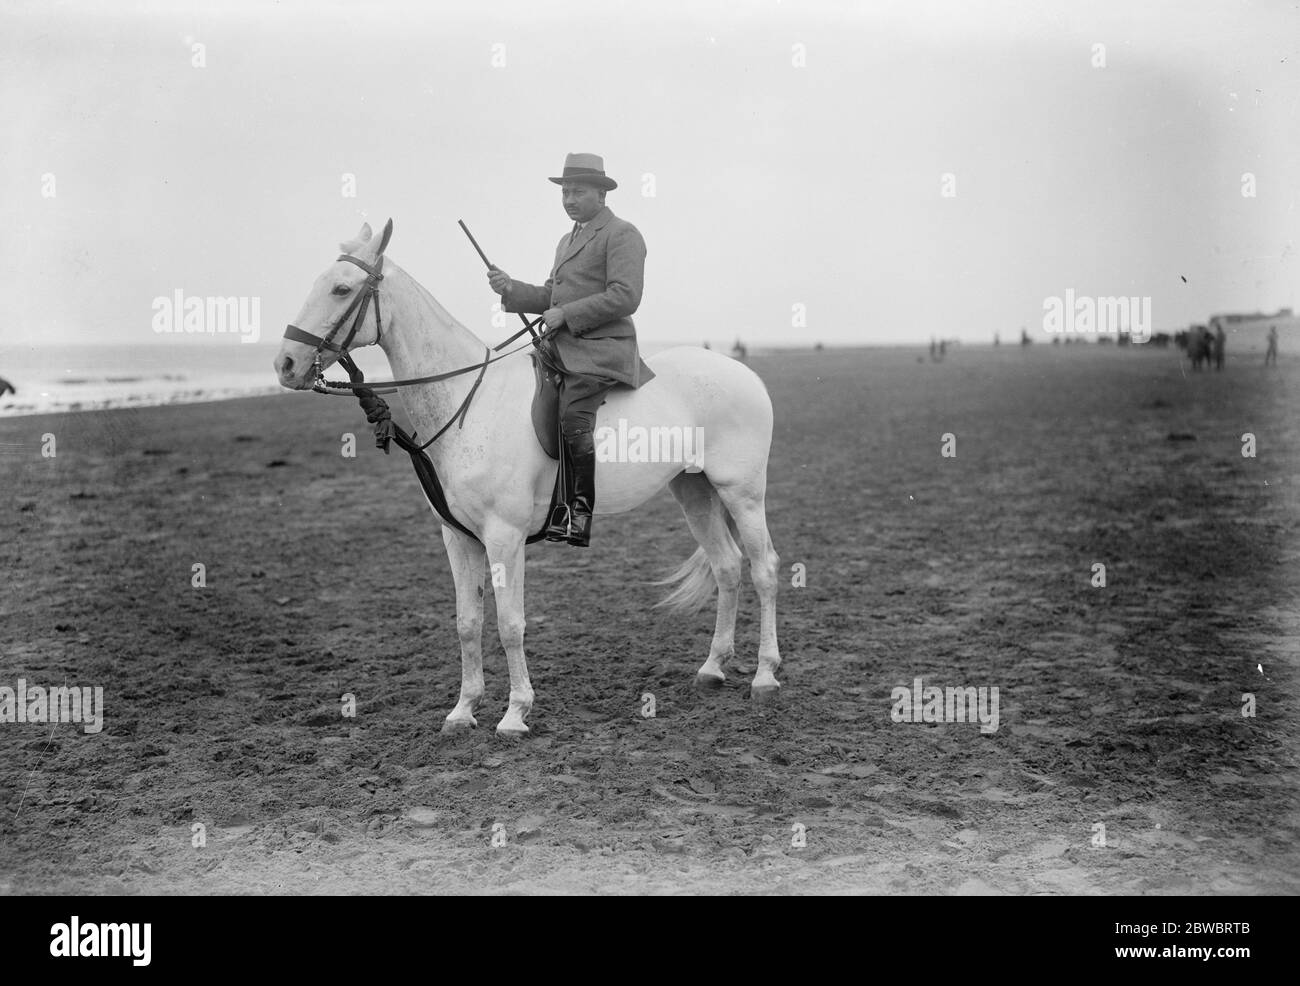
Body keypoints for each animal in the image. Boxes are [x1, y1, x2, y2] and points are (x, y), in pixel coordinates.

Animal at [274, 222, 780, 733]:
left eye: (341, 289)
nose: (285, 365)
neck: (467, 401)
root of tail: (744, 373)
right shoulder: (459, 538)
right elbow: (467, 623)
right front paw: (463, 710)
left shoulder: (504, 536)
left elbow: (510, 624)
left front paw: (515, 712)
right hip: (694, 491)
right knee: (727, 567)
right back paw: (712, 668)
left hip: (741, 493)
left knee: (764, 569)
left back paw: (764, 676)